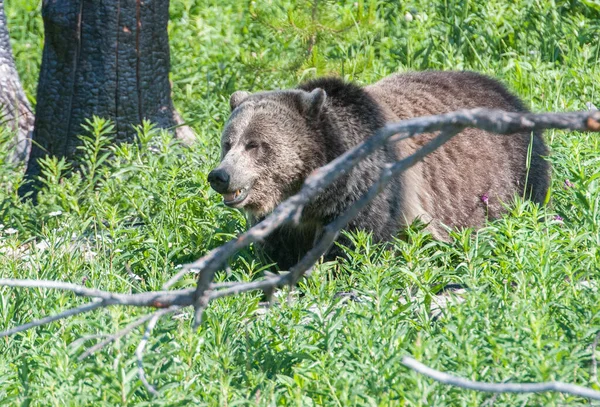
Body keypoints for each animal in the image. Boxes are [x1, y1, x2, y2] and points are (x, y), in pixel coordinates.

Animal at [206, 72, 548, 270]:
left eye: (255, 144)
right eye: (228, 142)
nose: (220, 176)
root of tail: (503, 90)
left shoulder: (370, 192)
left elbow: (356, 246)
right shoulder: (285, 223)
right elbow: (279, 254)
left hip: (515, 170)